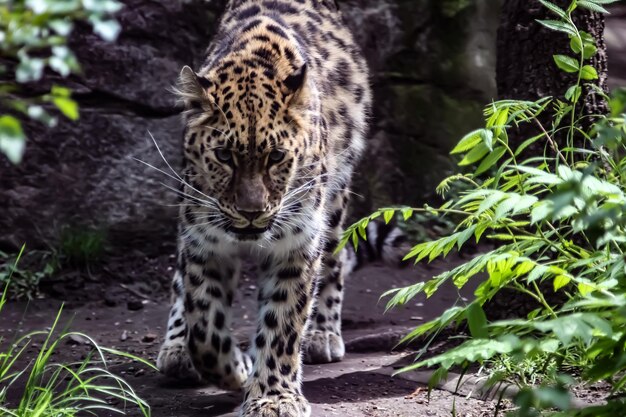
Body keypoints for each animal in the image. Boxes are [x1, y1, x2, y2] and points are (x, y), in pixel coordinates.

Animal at [156, 1, 404, 414]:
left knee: (335, 261)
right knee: (180, 285)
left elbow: (283, 324)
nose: (251, 212)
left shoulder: (297, 244)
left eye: (275, 157)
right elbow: (203, 325)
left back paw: (323, 334)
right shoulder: (203, 242)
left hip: (336, 196)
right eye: (223, 156)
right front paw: (235, 369)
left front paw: (273, 396)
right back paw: (176, 349)